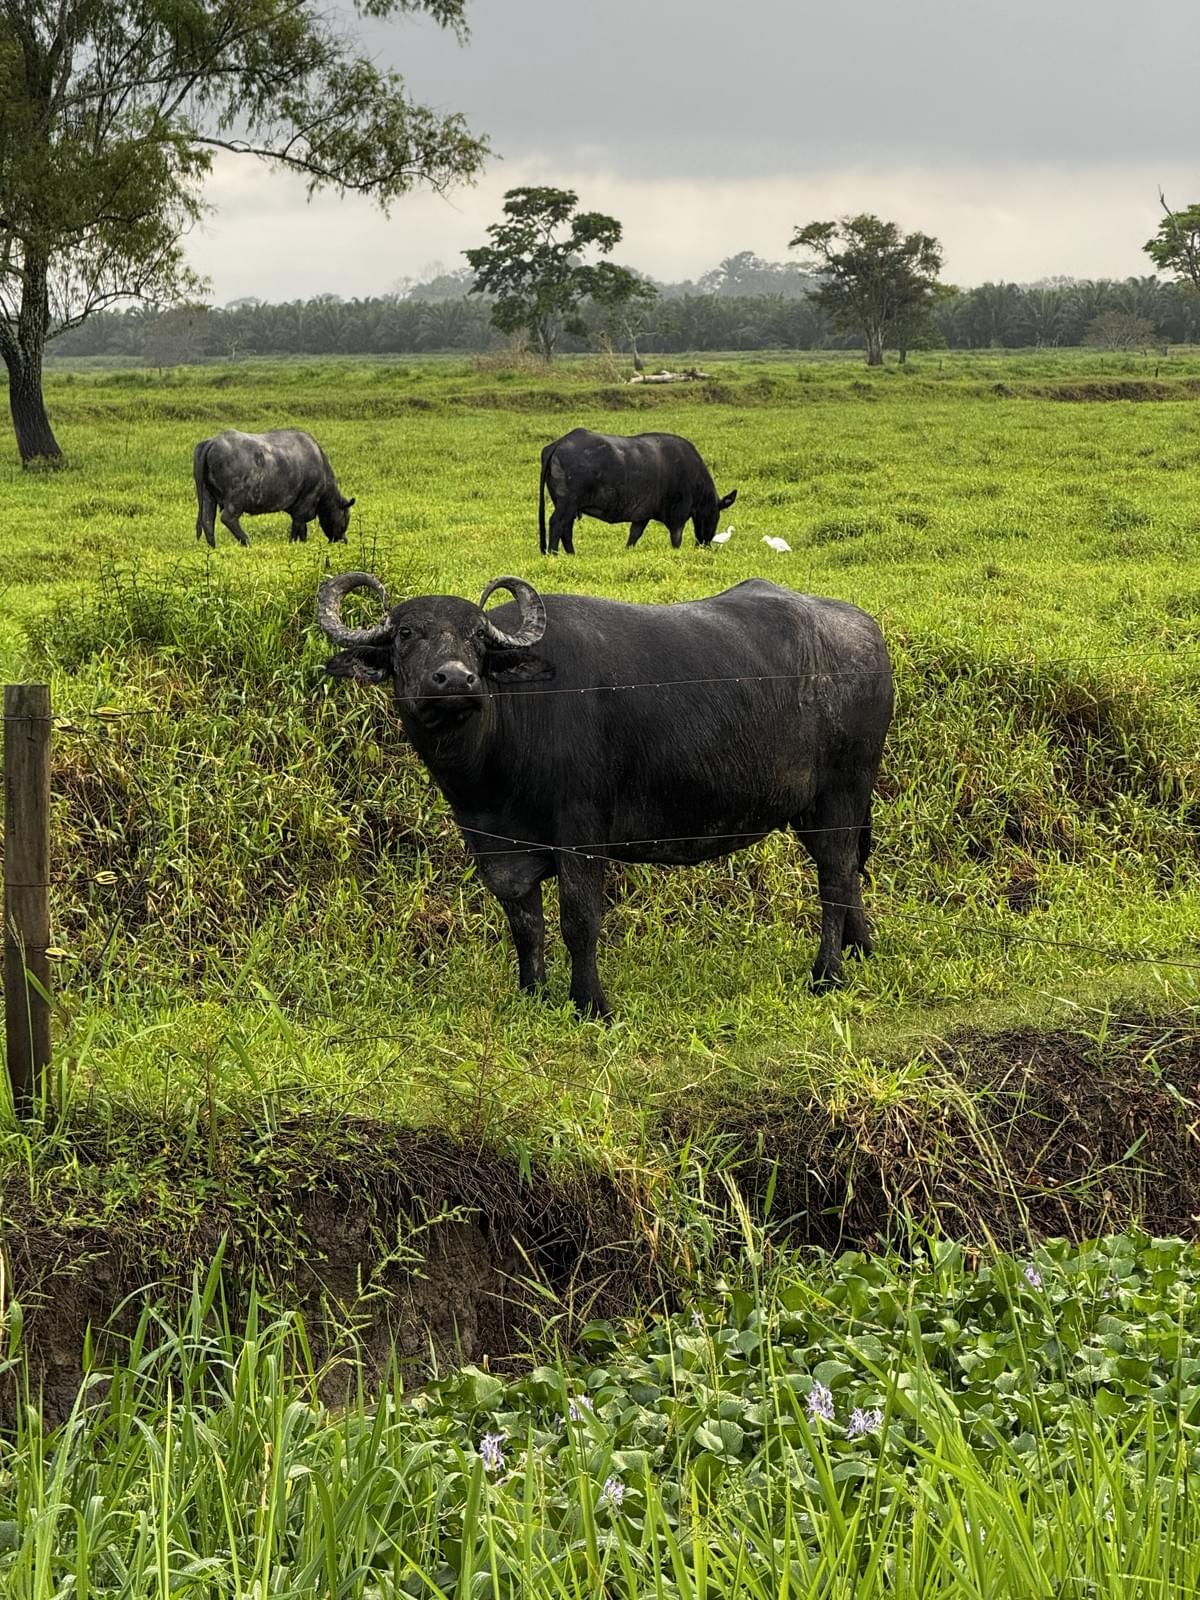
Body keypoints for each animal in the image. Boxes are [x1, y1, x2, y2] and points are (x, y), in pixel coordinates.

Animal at [194, 428, 354, 548]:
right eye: (345, 517)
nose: (343, 540)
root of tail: (212, 441)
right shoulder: (305, 505)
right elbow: (299, 528)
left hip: (207, 495)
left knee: (207, 521)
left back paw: (214, 547)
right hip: (235, 499)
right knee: (228, 518)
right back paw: (247, 542)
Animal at [317, 572, 892, 1019]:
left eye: (477, 637)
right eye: (406, 633)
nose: (456, 679)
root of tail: (866, 635)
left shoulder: (581, 834)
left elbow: (578, 920)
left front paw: (589, 1004)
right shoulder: (497, 847)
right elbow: (525, 925)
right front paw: (533, 995)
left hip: (844, 791)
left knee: (835, 878)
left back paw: (827, 974)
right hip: (813, 808)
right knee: (845, 871)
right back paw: (861, 951)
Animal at [539, 428, 737, 554]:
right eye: (714, 516)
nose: (706, 545)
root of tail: (557, 445)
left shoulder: (642, 515)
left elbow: (634, 535)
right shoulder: (678, 516)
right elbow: (676, 539)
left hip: (570, 507)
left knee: (566, 528)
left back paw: (571, 553)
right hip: (567, 504)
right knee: (556, 523)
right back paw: (553, 553)